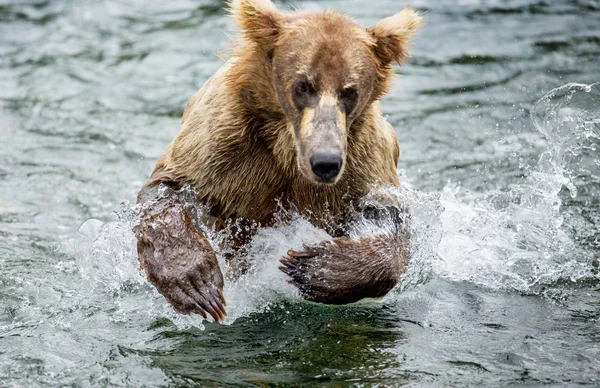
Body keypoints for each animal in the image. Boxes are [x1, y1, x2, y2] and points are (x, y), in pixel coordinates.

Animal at [132, 0, 422, 322]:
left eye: (349, 91)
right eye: (303, 85)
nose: (325, 161)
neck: (286, 148)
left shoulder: (362, 159)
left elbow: (387, 217)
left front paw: (313, 267)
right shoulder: (225, 142)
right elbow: (171, 187)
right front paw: (196, 283)